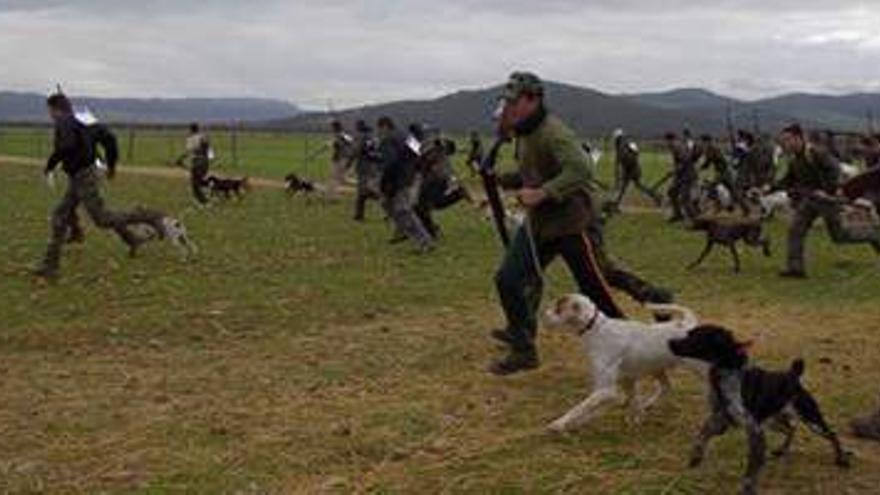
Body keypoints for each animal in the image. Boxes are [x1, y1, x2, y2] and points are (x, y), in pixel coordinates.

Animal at [540, 294, 704, 430]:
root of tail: (688, 325)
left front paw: (559, 423)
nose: (543, 314)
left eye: (558, 309)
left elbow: (580, 408)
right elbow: (632, 401)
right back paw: (648, 404)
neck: (596, 328)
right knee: (666, 387)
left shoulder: (606, 390)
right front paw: (636, 418)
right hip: (656, 368)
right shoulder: (627, 380)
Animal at [668, 326, 852, 495]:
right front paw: (695, 457)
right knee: (791, 428)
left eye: (695, 336)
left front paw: (748, 488)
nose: (670, 342)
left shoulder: (754, 430)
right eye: (688, 333)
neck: (727, 374)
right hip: (774, 421)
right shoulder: (721, 421)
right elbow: (701, 436)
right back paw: (782, 450)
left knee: (831, 434)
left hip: (811, 419)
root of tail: (793, 375)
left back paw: (841, 459)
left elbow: (751, 470)